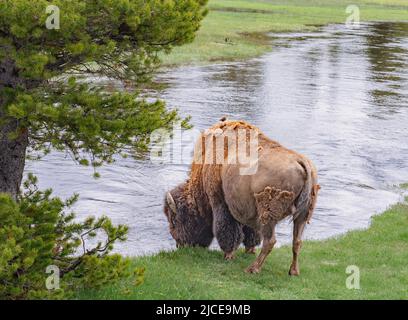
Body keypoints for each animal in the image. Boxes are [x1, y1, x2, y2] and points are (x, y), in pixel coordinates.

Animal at [164, 120, 320, 276]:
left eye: (175, 220)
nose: (180, 245)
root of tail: (302, 162)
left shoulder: (220, 203)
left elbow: (228, 231)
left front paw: (228, 255)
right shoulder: (248, 209)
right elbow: (250, 233)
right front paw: (249, 250)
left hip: (269, 215)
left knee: (270, 241)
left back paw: (253, 269)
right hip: (303, 215)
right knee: (297, 241)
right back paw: (293, 271)